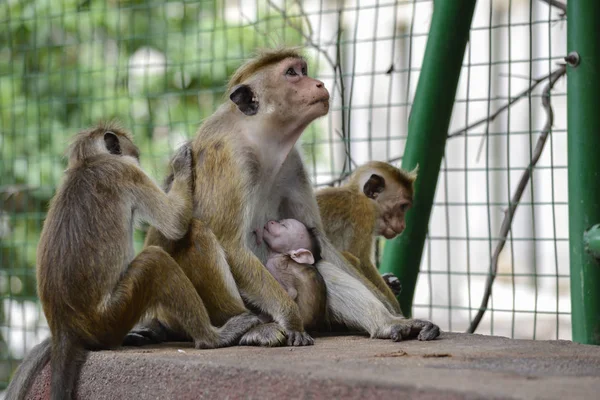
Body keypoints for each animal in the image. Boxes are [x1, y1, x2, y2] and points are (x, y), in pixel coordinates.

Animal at [4, 125, 258, 400]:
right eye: (133, 153)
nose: (137, 155)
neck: (88, 162)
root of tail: (64, 328)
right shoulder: (126, 171)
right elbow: (174, 224)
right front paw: (180, 166)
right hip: (111, 316)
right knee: (155, 261)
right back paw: (211, 338)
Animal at [318, 161, 418, 314]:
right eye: (402, 206)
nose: (403, 225)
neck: (359, 196)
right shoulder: (364, 215)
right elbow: (362, 261)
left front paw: (391, 283)